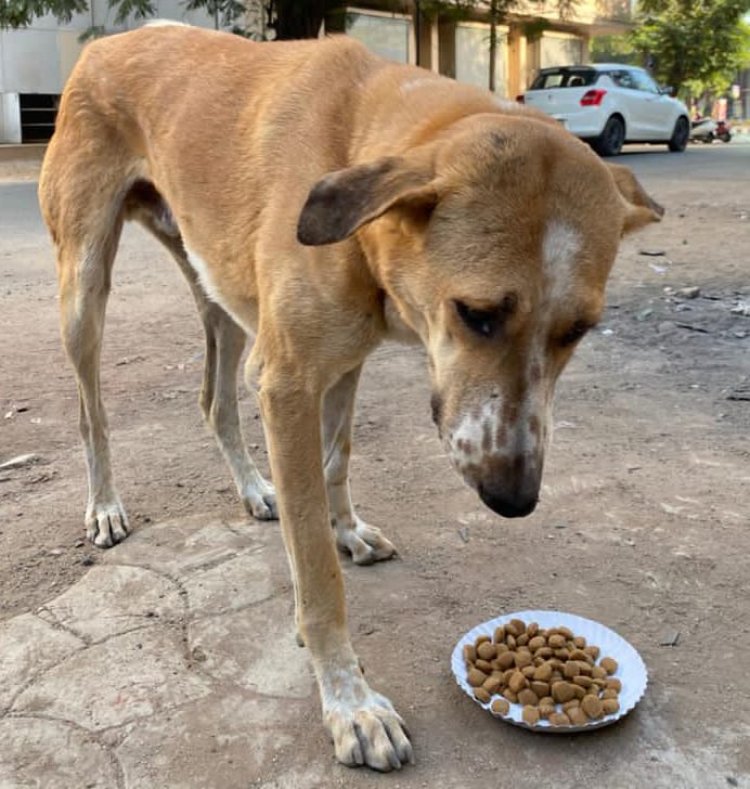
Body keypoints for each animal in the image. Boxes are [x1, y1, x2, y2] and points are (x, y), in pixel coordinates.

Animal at [39, 23, 664, 768]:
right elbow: (315, 573)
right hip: (84, 287)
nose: (513, 500)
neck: (355, 145)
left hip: (218, 292)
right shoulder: (287, 383)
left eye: (578, 330)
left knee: (214, 401)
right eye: (477, 314)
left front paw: (345, 528)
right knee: (90, 413)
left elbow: (336, 460)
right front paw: (349, 701)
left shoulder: (341, 364)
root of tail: (108, 43)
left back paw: (255, 489)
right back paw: (105, 506)